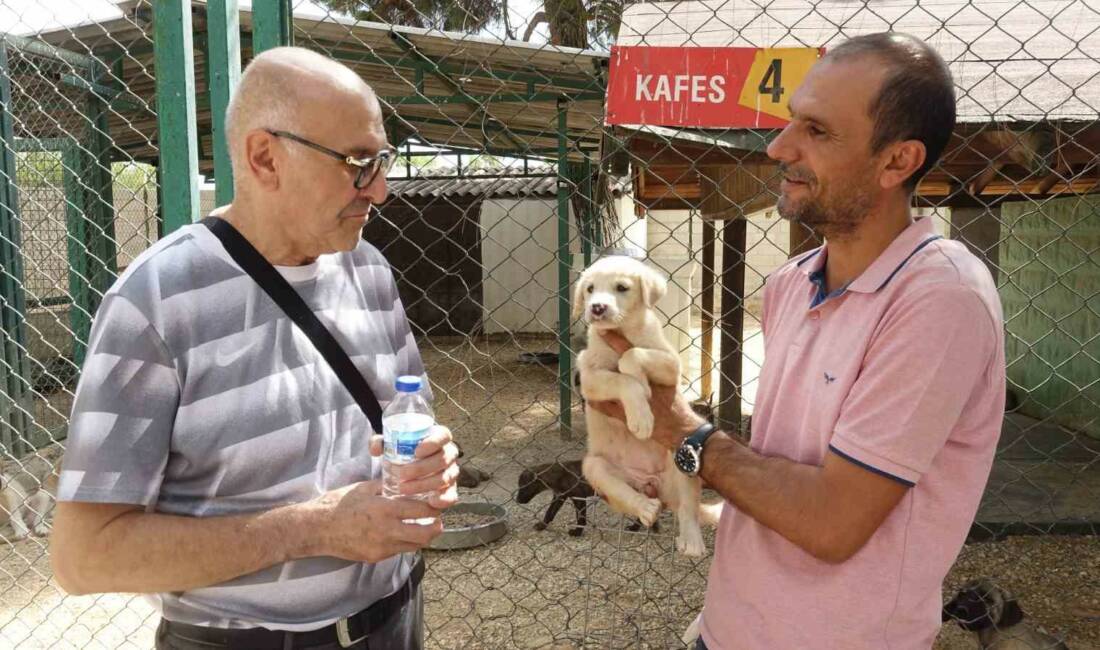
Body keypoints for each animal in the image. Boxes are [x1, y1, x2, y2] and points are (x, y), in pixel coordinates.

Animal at [572, 257, 717, 556]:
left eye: (622, 288)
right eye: (590, 289)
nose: (597, 307)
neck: (623, 330)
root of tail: (652, 484)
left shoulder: (671, 364)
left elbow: (631, 354)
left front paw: (639, 380)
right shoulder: (589, 377)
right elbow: (622, 379)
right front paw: (641, 415)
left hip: (680, 461)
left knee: (688, 508)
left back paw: (692, 541)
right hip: (594, 466)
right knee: (624, 491)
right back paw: (646, 507)